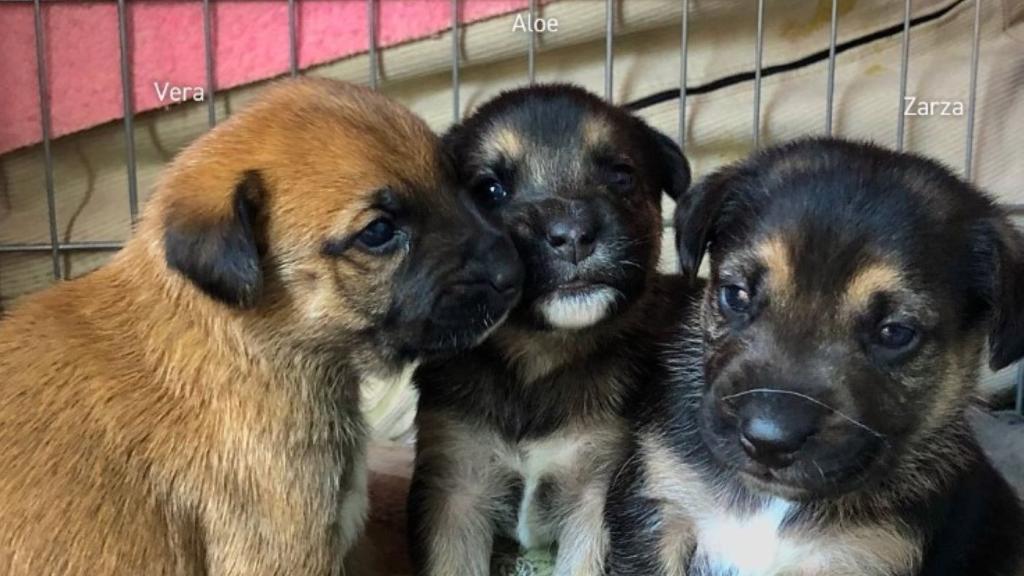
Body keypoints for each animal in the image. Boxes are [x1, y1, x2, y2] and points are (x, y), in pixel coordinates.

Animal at [405, 84, 688, 573]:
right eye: (490, 190)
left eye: (621, 176)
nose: (572, 234)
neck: (539, 353)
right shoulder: (454, 487)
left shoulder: (597, 493)